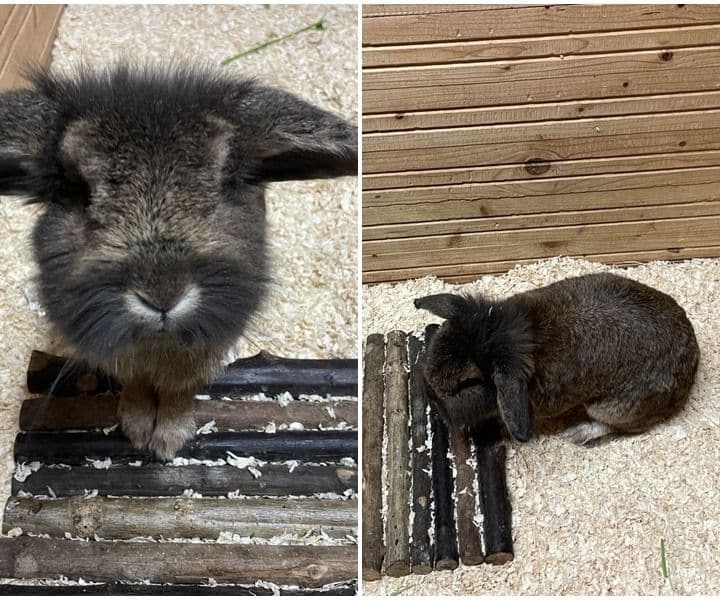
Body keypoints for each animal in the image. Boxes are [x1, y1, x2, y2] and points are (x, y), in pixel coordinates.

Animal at [0, 63, 357, 460]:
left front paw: (169, 441)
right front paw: (138, 430)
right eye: (80, 193)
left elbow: (178, 391)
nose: (163, 296)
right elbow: (136, 385)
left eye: (222, 184)